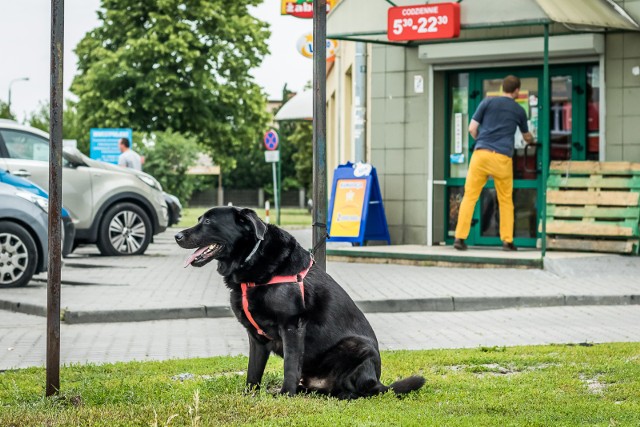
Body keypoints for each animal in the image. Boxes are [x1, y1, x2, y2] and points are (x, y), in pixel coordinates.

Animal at [176, 207, 424, 402]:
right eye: (199, 219)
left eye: (208, 222)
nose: (177, 235)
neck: (251, 261)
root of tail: (379, 382)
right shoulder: (255, 338)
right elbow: (253, 371)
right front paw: (249, 395)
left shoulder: (291, 326)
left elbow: (289, 365)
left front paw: (286, 394)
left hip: (359, 347)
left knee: (360, 390)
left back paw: (340, 394)